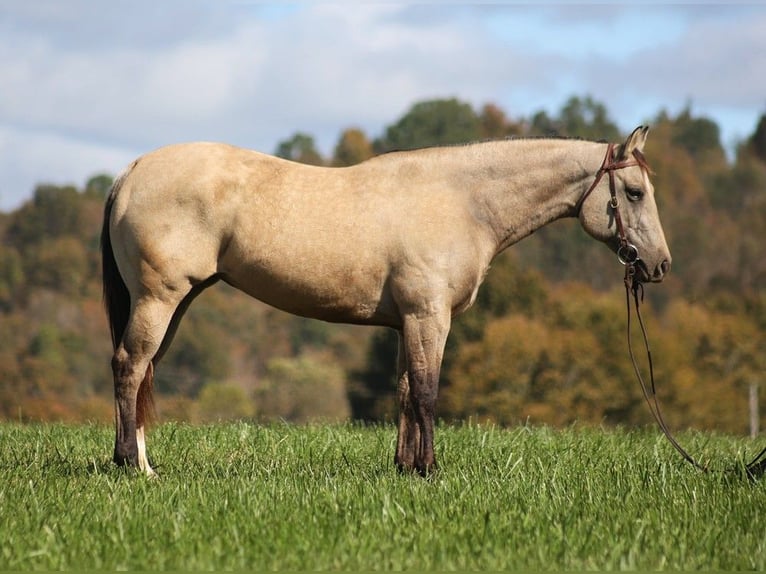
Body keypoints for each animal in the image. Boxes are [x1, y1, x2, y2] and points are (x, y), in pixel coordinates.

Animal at [101, 126, 671, 476]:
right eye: (635, 192)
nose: (659, 265)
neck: (462, 201)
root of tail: (132, 170)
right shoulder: (428, 318)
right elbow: (427, 392)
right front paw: (430, 470)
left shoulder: (406, 324)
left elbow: (404, 392)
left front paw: (405, 468)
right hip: (159, 299)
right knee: (130, 367)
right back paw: (133, 466)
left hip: (177, 302)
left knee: (144, 372)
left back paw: (142, 461)